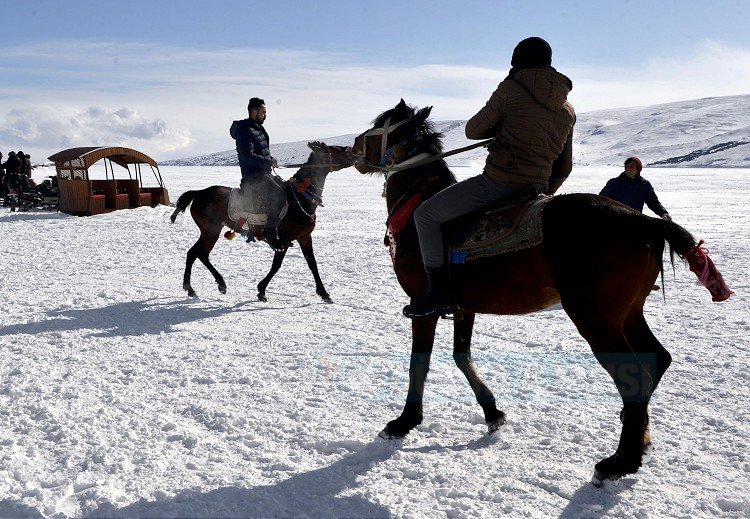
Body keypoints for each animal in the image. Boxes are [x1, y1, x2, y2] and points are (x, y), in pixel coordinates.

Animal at [170, 142, 356, 302]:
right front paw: (261, 290)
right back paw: (220, 284)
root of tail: (199, 192)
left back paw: (191, 288)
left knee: (193, 253)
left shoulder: (304, 237)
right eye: (334, 148)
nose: (353, 151)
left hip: (208, 231)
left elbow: (313, 264)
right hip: (211, 230)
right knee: (201, 253)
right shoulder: (284, 240)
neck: (300, 197)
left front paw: (324, 293)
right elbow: (276, 265)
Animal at [352, 100, 736, 488]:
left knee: (635, 376)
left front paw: (404, 421)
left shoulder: (424, 304)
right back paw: (638, 438)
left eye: (379, 125)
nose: (352, 145)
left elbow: (421, 362)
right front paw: (492, 412)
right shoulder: (464, 306)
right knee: (657, 359)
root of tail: (644, 222)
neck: (416, 208)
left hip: (595, 318)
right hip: (628, 313)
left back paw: (618, 462)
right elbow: (462, 356)